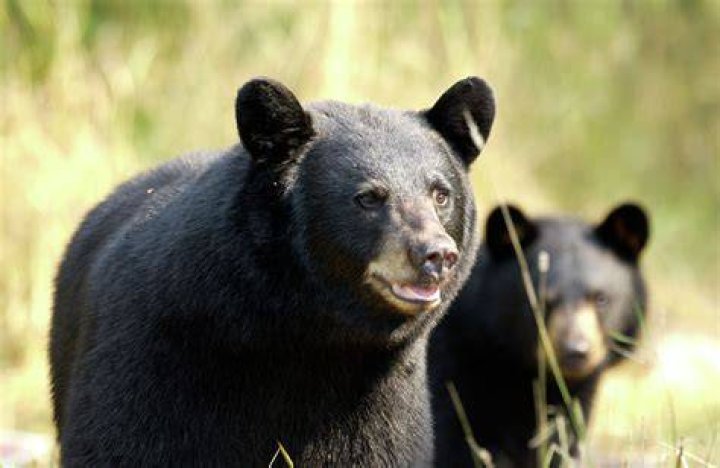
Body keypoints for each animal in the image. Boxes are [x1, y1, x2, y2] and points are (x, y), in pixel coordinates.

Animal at [49, 76, 496, 466]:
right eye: (368, 197)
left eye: (440, 194)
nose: (436, 254)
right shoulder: (154, 358)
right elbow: (125, 441)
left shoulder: (380, 399)